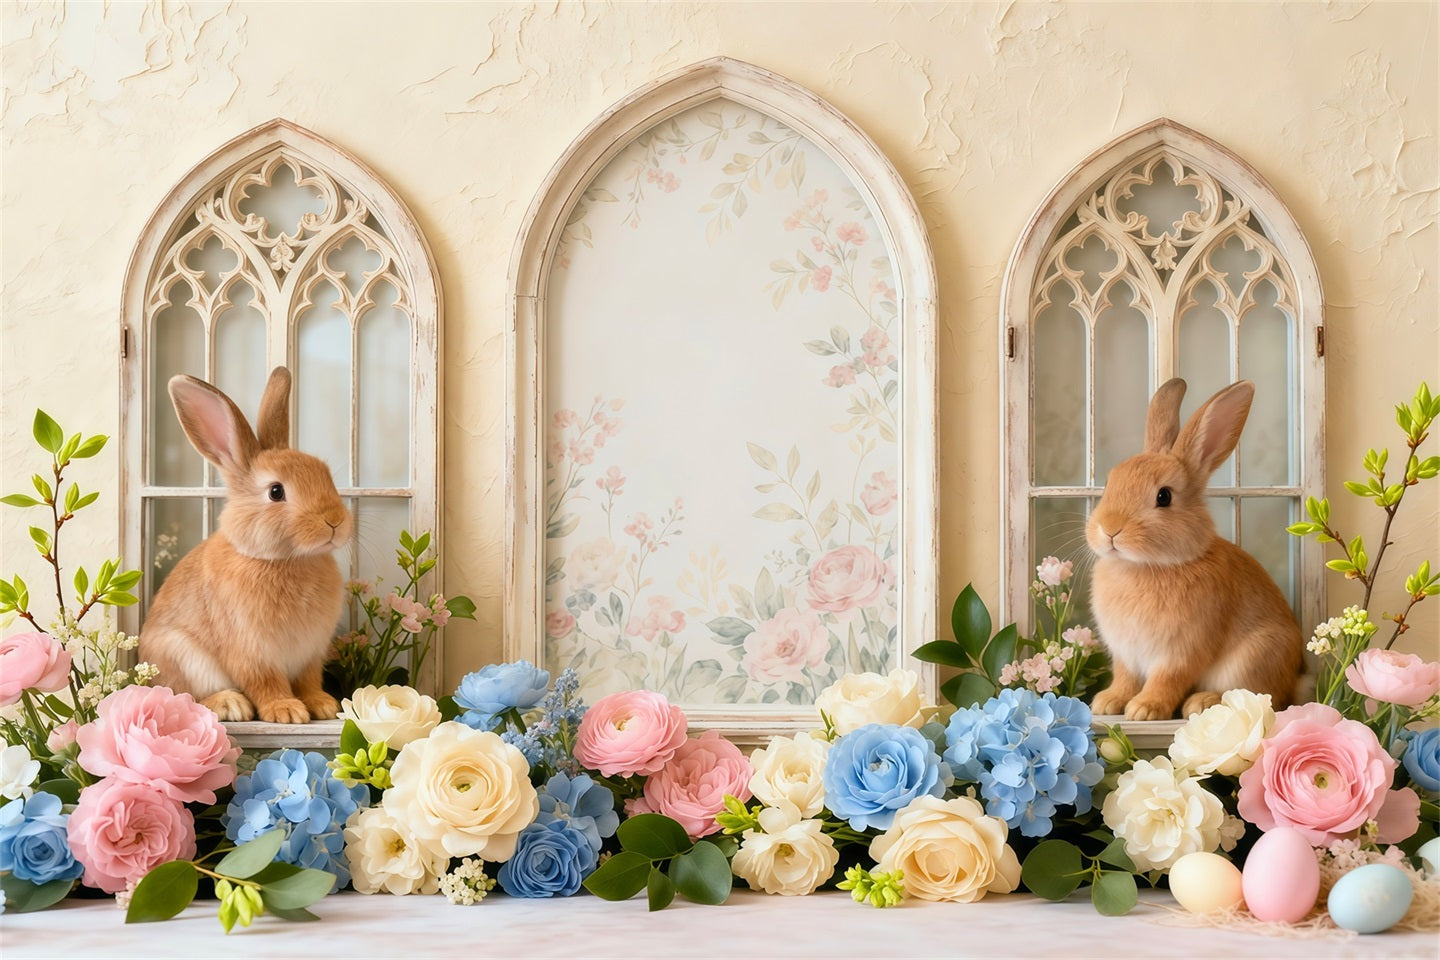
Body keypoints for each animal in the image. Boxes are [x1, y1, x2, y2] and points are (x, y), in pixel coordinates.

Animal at [138, 367, 353, 724]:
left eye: (325, 474)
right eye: (276, 491)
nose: (335, 521)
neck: (280, 559)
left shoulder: (310, 654)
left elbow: (309, 681)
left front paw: (322, 705)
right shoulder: (251, 652)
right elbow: (266, 683)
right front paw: (287, 711)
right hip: (181, 656)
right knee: (182, 696)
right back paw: (230, 704)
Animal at [1085, 378, 1304, 721]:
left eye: (1163, 496)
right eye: (1109, 484)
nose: (1109, 529)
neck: (1146, 565)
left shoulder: (1181, 651)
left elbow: (1166, 680)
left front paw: (1144, 710)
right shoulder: (1125, 654)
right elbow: (1124, 678)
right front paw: (1108, 703)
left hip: (1254, 657)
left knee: (1262, 697)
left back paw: (1202, 702)